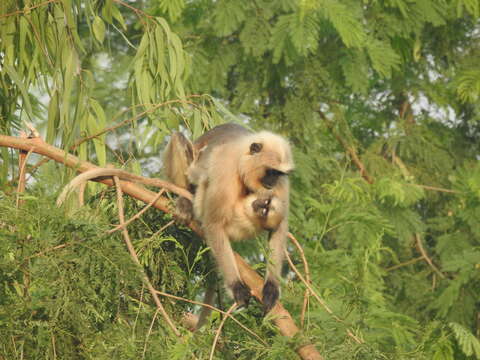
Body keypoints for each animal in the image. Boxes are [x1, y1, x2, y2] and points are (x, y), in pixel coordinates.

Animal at [164, 122, 292, 314]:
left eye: (278, 174)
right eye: (270, 171)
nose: (272, 182)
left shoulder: (280, 186)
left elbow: (279, 226)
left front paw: (271, 287)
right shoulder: (226, 169)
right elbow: (214, 223)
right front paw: (236, 287)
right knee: (179, 141)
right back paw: (185, 201)